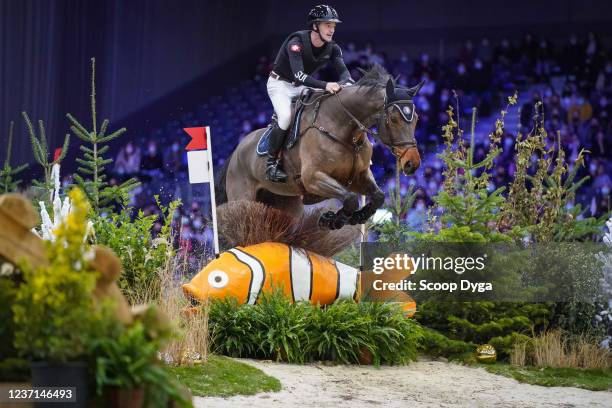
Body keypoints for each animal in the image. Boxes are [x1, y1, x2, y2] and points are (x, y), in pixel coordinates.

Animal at [218, 65, 424, 228]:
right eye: (394, 119)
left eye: (416, 118)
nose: (412, 163)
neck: (343, 129)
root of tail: (236, 152)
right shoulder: (313, 178)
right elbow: (350, 198)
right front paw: (334, 220)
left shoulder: (359, 176)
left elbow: (378, 196)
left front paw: (356, 217)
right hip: (243, 200)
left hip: (283, 203)